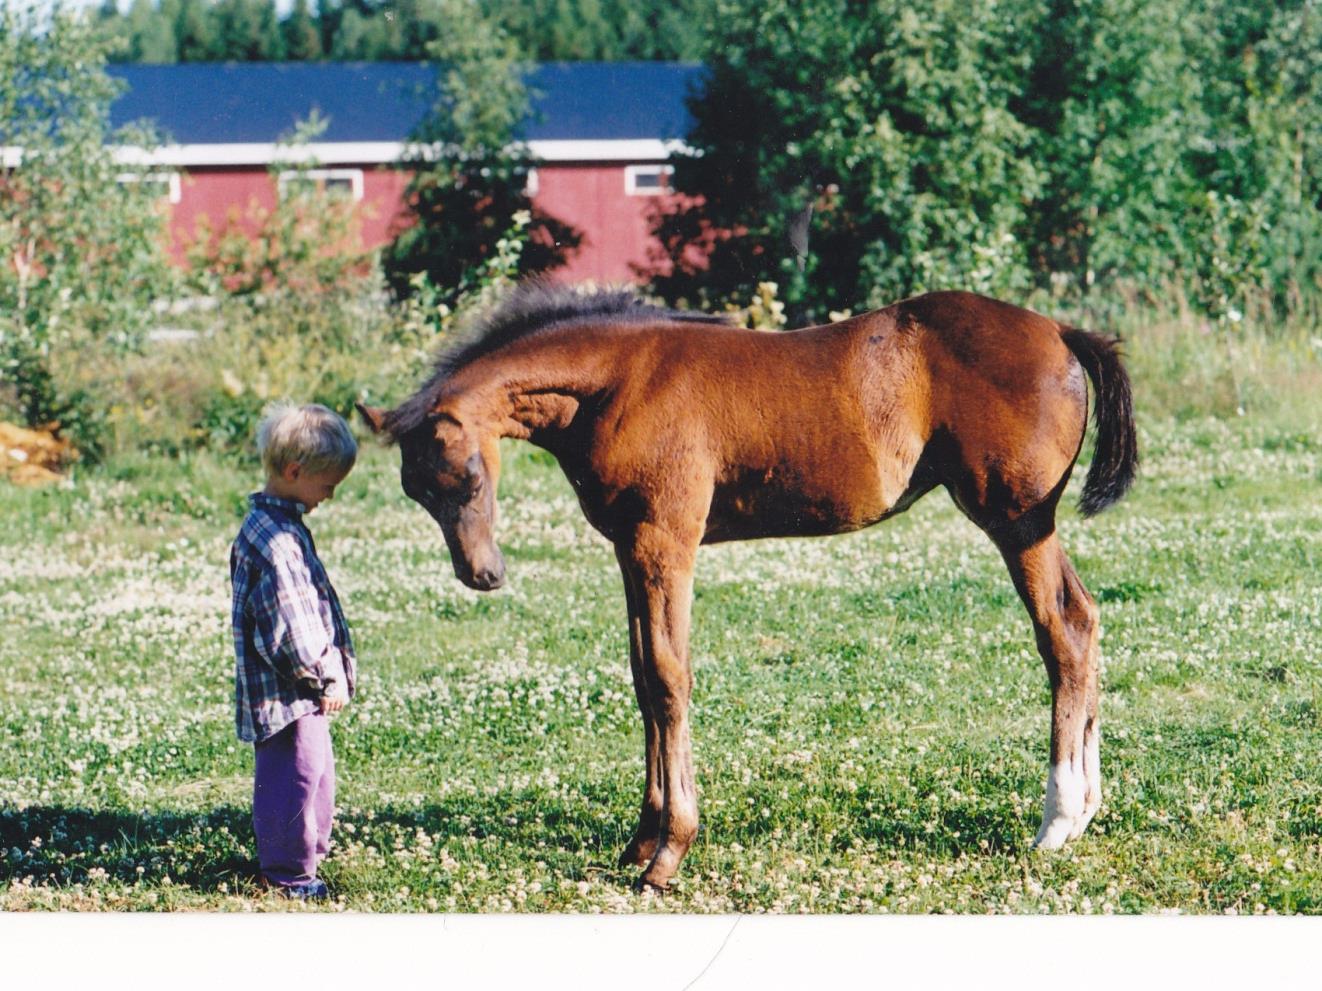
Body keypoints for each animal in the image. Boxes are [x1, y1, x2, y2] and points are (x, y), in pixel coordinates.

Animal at [362, 281, 1136, 893]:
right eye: (415, 492)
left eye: (465, 478)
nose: (482, 574)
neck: (617, 383)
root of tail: (1062, 332)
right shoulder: (630, 548)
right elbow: (642, 678)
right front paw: (638, 840)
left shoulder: (665, 541)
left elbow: (669, 679)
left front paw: (668, 853)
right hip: (1030, 523)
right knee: (1086, 619)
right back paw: (1085, 810)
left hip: (1016, 519)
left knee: (1062, 632)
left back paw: (1057, 819)